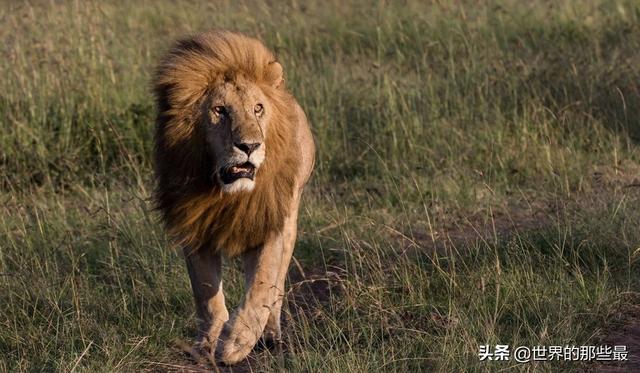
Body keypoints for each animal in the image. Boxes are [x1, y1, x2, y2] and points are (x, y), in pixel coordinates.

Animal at [153, 30, 318, 362]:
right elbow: (205, 292)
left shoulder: (269, 221)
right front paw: (206, 343)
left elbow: (262, 284)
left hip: (290, 216)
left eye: (257, 108)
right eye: (220, 111)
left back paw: (270, 334)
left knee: (277, 285)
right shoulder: (196, 224)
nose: (250, 146)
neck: (228, 194)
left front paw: (236, 341)